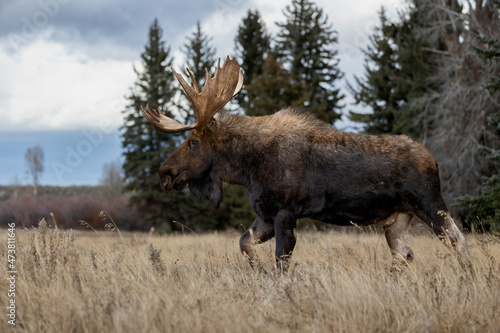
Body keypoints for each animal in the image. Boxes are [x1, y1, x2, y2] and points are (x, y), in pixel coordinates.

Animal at [141, 55, 472, 272]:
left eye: (193, 142)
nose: (164, 173)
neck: (247, 168)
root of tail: (433, 160)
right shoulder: (265, 213)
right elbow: (244, 242)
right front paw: (257, 271)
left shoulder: (286, 211)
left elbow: (281, 260)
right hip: (397, 221)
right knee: (405, 255)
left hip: (430, 204)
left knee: (459, 241)